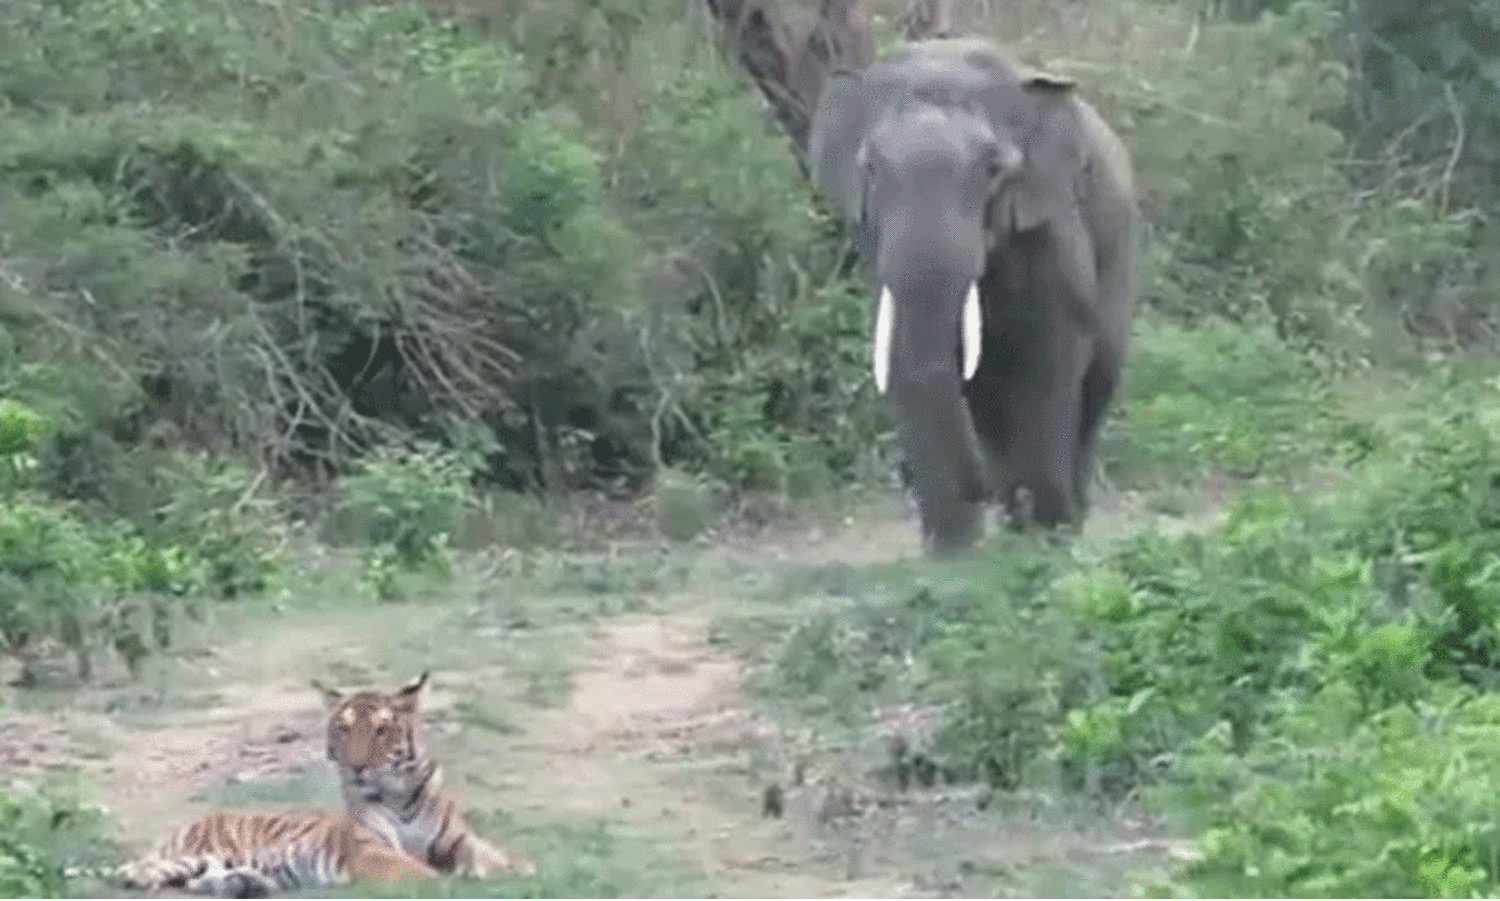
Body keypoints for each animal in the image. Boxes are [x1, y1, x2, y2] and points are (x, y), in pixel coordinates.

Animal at [120, 670, 532, 897]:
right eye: (343, 728)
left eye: (381, 730)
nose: (357, 766)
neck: (398, 794)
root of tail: (193, 820)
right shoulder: (371, 849)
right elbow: (418, 872)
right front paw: (453, 883)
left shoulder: (460, 839)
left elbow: (497, 856)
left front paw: (521, 870)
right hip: (192, 854)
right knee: (138, 872)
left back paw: (241, 885)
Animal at [808, 36, 1139, 554]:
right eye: (871, 169)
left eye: (992, 169)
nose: (985, 488)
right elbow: (907, 357)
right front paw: (954, 553)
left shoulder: (1051, 224)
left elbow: (1050, 353)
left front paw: (1046, 535)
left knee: (1096, 384)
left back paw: (1063, 519)